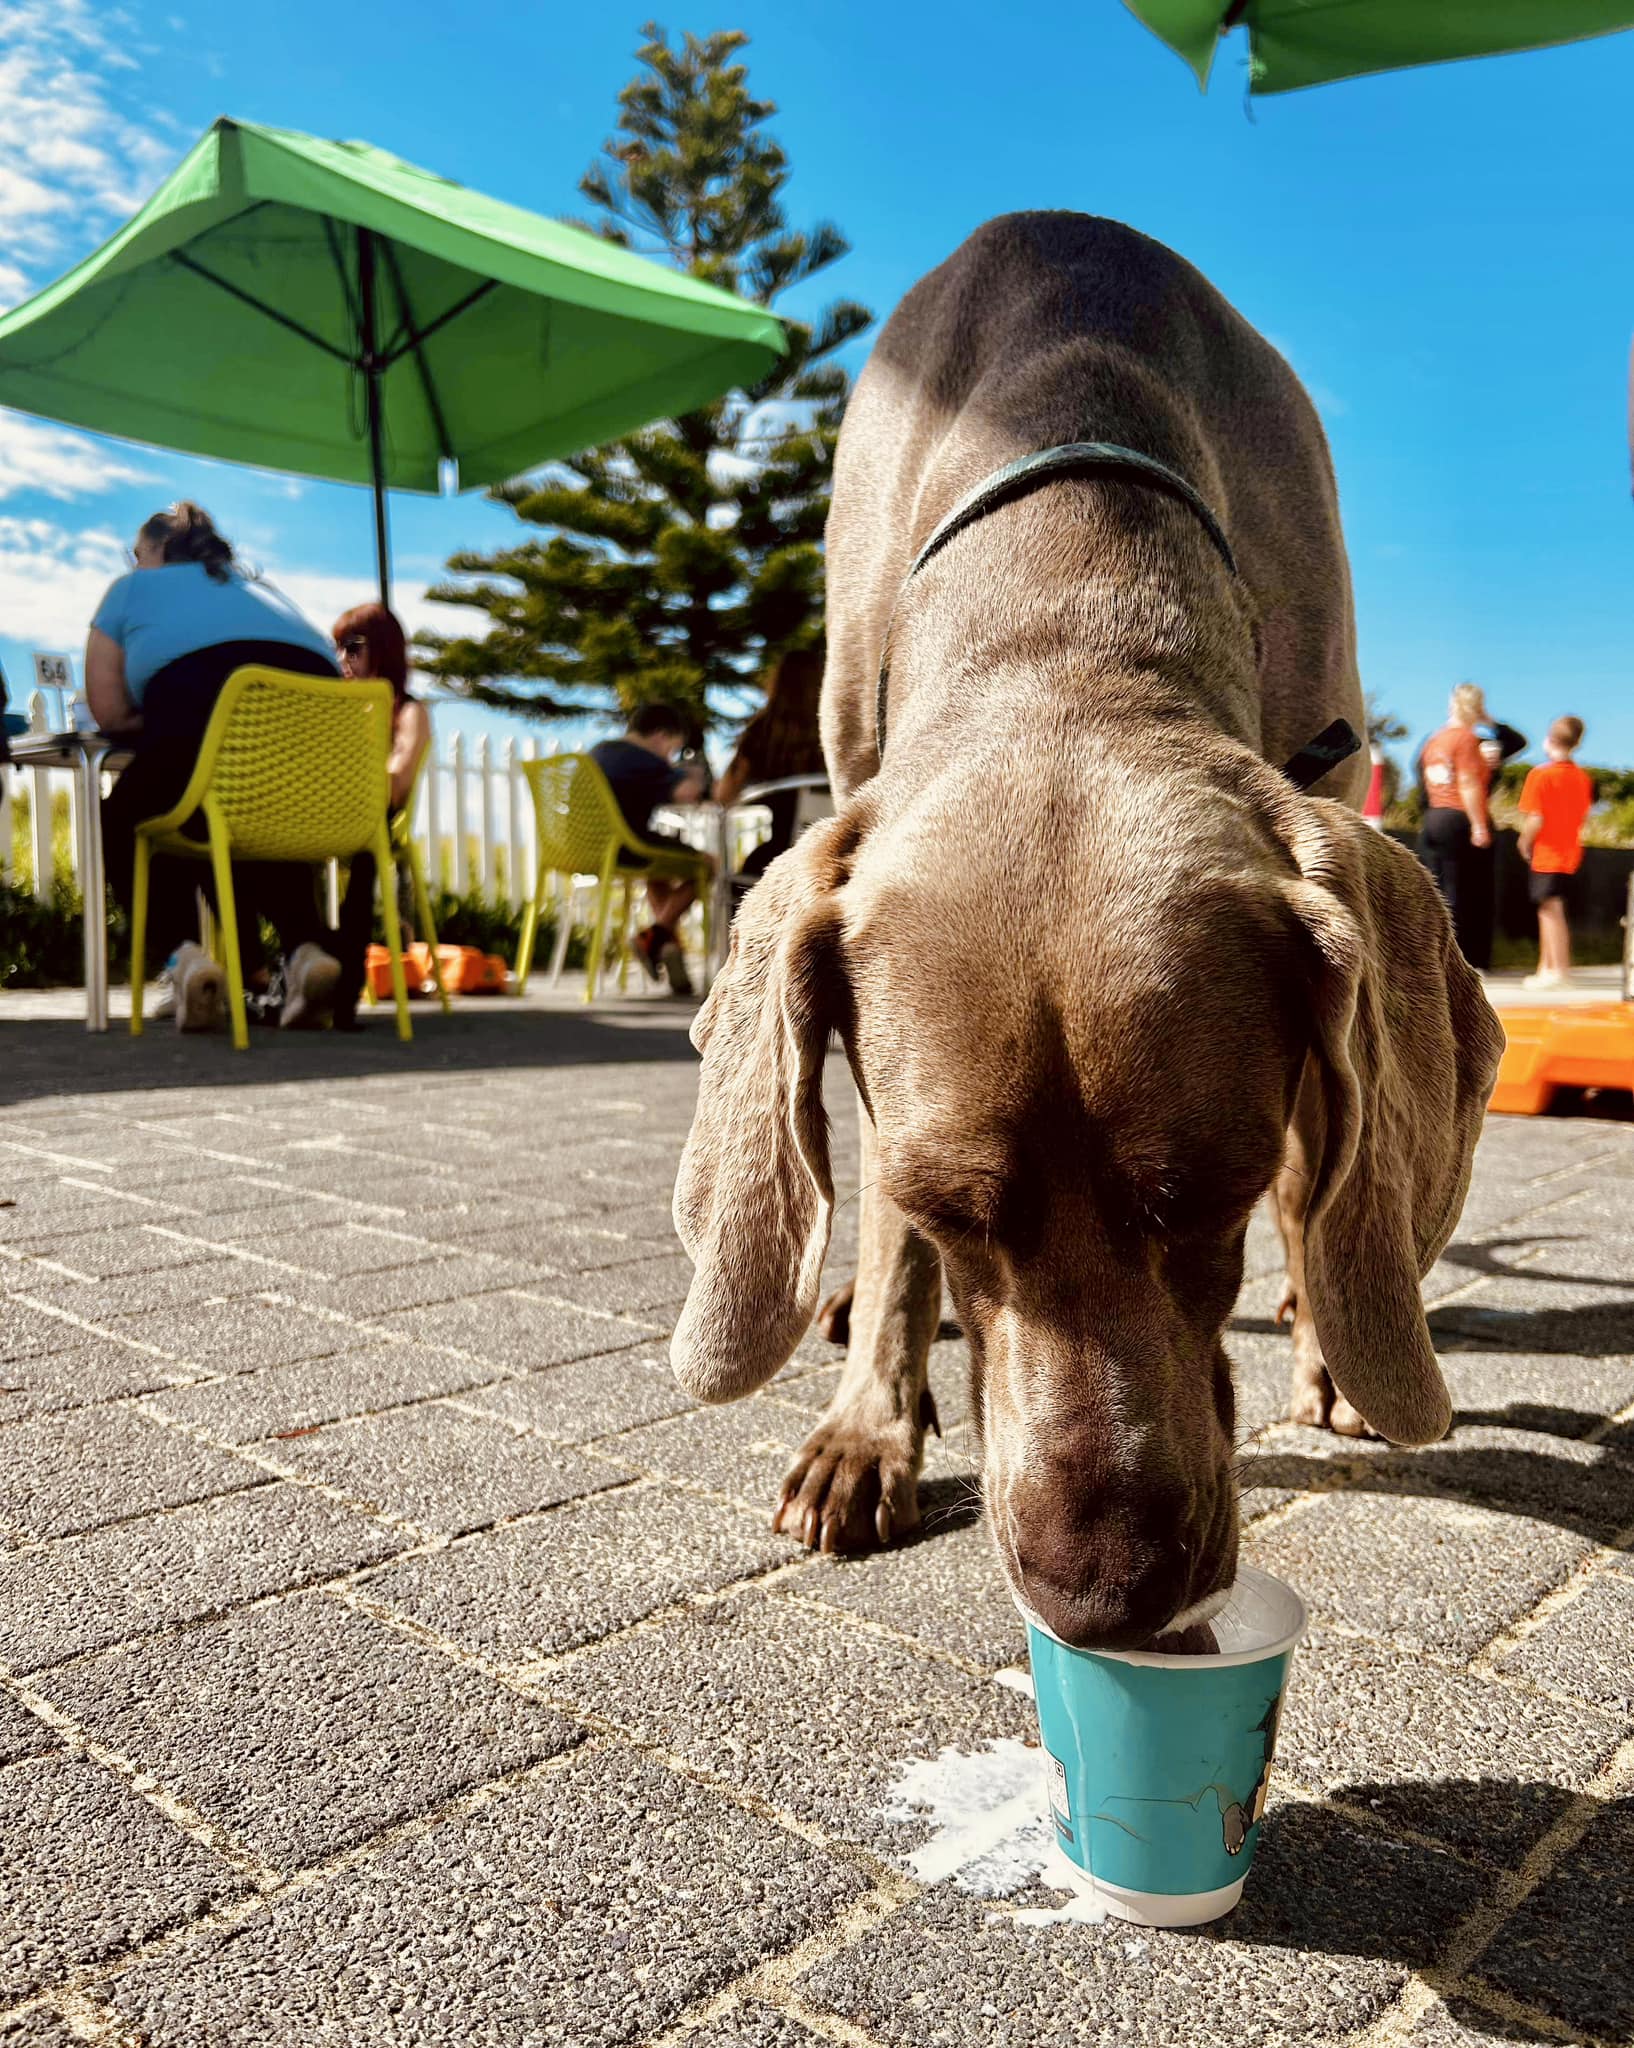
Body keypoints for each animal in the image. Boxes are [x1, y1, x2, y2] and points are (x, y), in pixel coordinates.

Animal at [671, 216, 1507, 1646]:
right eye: (942, 1205)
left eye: (1212, 1193)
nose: (1108, 1598)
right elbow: (885, 1233)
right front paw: (868, 1429)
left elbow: (1327, 1171)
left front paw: (1337, 1336)